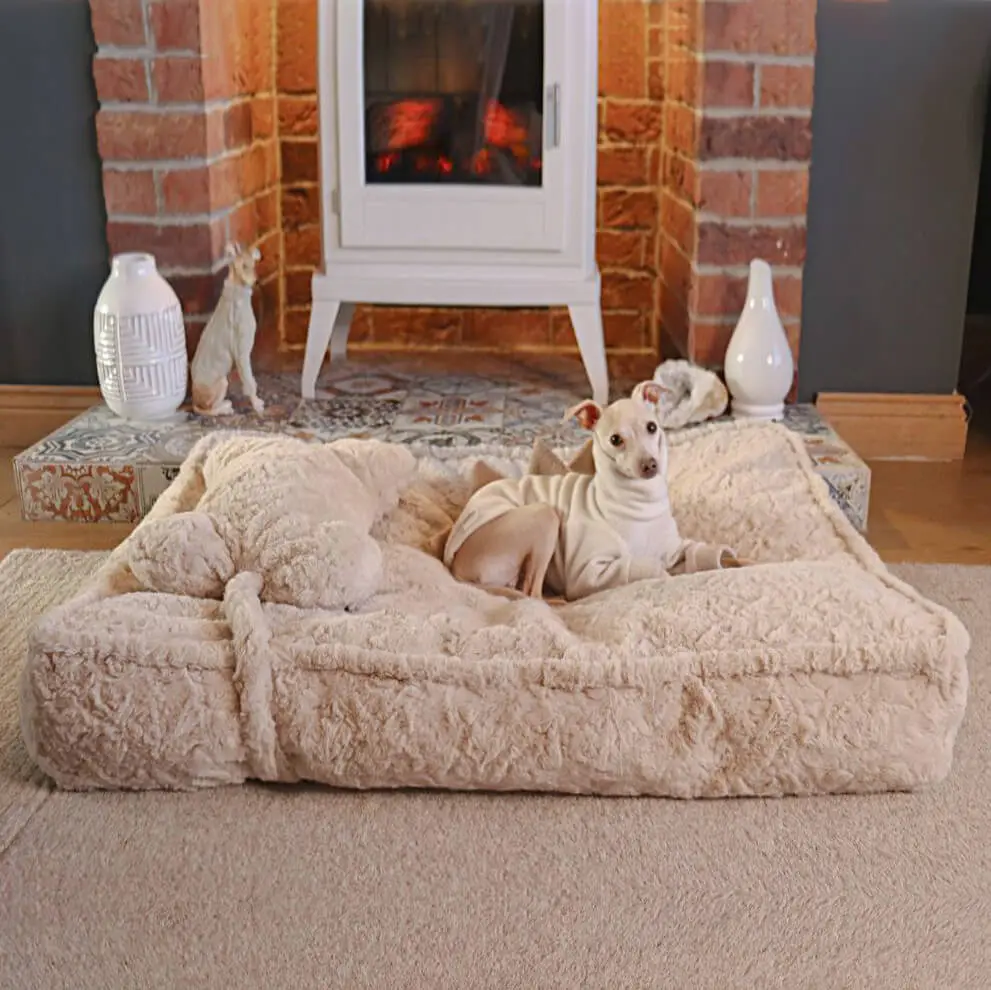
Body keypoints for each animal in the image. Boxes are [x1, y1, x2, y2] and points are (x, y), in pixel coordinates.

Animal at [191, 246, 266, 420]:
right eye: (243, 266)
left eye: (254, 265)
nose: (257, 282)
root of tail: (194, 400)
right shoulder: (242, 354)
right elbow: (250, 382)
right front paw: (256, 405)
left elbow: (252, 380)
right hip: (222, 382)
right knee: (208, 409)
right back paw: (225, 407)